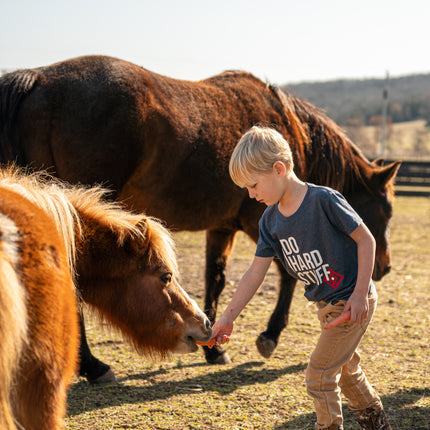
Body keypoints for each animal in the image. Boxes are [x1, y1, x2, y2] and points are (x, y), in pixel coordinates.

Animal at [0, 54, 400, 380]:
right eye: (386, 211)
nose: (384, 267)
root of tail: (38, 78)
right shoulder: (260, 222)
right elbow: (286, 274)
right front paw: (269, 335)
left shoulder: (222, 228)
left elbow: (216, 280)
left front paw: (215, 347)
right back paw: (94, 366)